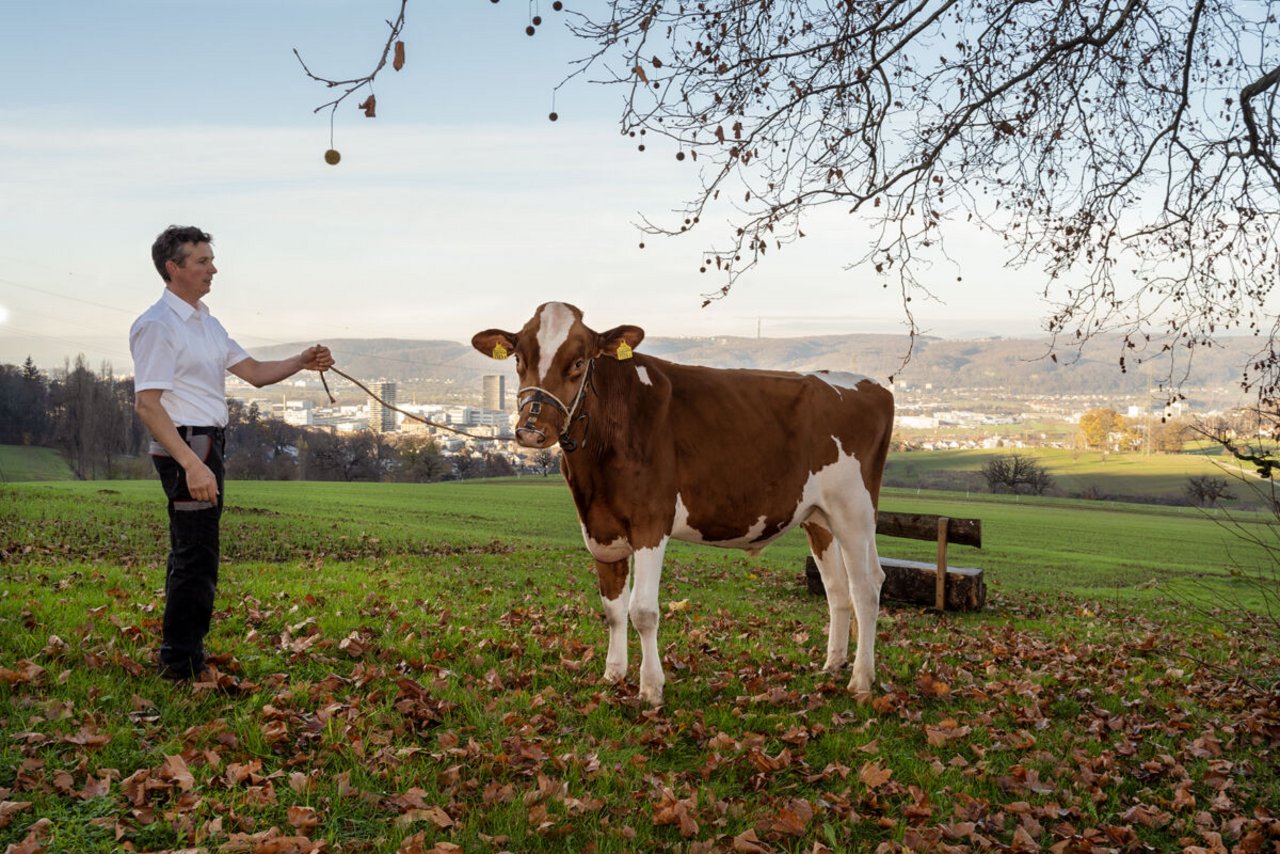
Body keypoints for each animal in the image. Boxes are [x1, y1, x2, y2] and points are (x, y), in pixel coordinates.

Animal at [471, 303, 890, 706]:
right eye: (519, 358)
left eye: (578, 361)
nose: (531, 430)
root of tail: (870, 385)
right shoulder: (600, 527)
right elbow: (612, 609)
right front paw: (613, 674)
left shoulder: (651, 521)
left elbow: (642, 610)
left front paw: (651, 688)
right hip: (818, 517)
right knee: (837, 588)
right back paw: (832, 664)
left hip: (854, 511)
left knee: (866, 587)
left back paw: (861, 680)